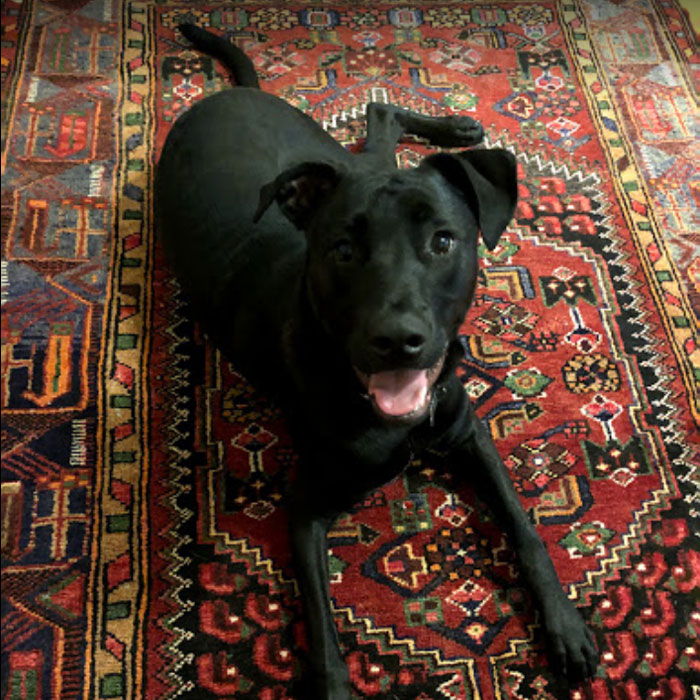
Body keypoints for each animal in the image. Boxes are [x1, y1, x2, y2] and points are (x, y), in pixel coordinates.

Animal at [157, 24, 596, 696]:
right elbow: (322, 626)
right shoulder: (306, 507)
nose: (398, 339)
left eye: (443, 241)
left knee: (380, 117)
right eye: (342, 249)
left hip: (343, 157)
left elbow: (526, 530)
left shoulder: (470, 434)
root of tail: (226, 97)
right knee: (377, 123)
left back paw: (457, 129)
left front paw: (566, 625)